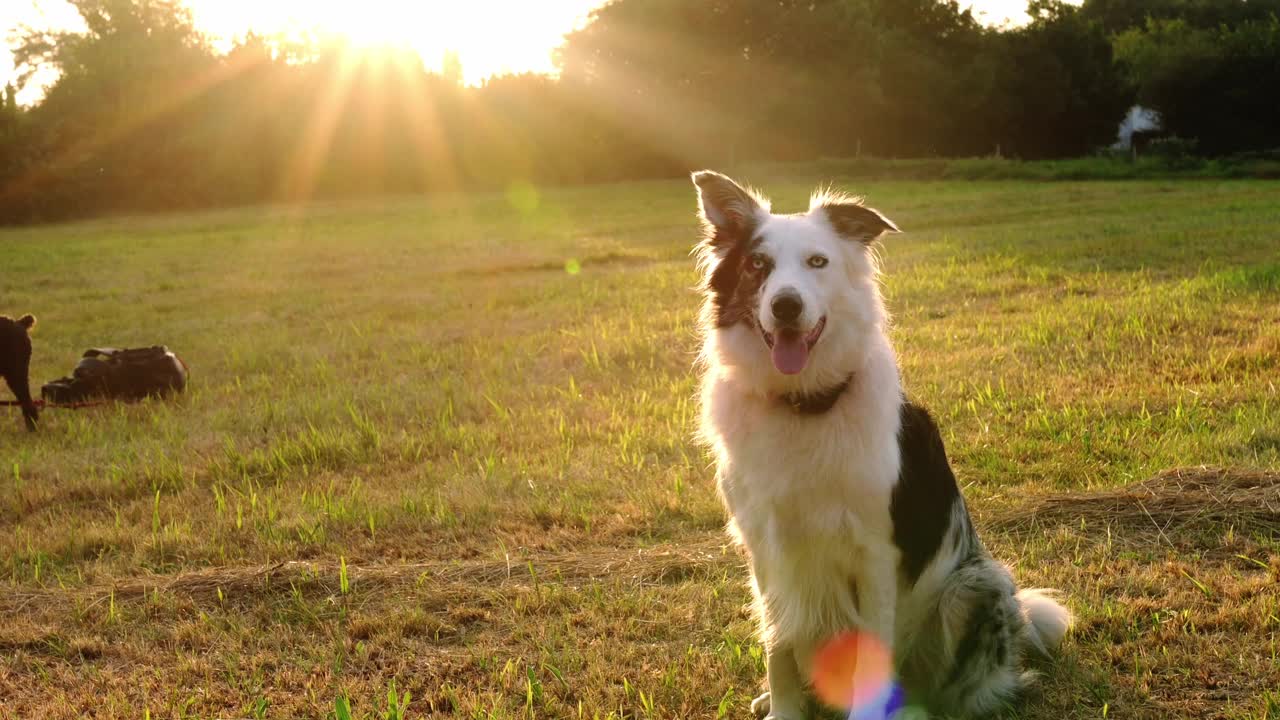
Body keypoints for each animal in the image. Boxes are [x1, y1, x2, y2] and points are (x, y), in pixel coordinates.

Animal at [691, 170, 1070, 712]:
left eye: (818, 261)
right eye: (757, 264)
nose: (786, 306)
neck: (803, 403)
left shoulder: (875, 553)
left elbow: (870, 655)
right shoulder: (766, 550)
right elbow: (777, 646)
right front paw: (784, 709)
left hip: (978, 583)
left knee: (968, 686)